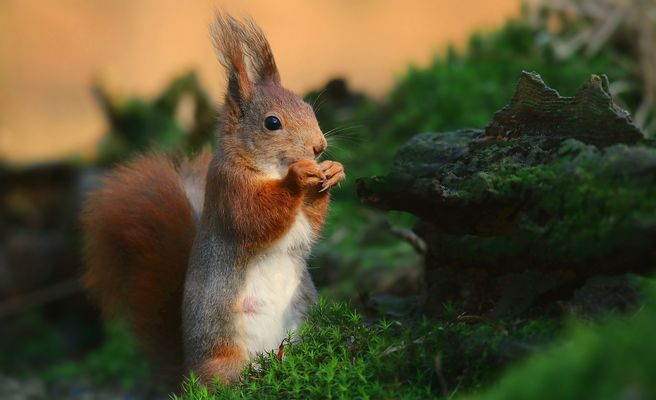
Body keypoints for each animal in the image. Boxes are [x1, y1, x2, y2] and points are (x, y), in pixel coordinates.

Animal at [81, 12, 345, 386]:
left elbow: (309, 224)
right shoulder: (227, 189)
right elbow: (255, 218)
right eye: (272, 123)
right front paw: (298, 178)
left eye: (308, 107)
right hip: (225, 355)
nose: (319, 147)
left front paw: (333, 172)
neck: (269, 169)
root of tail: (186, 371)